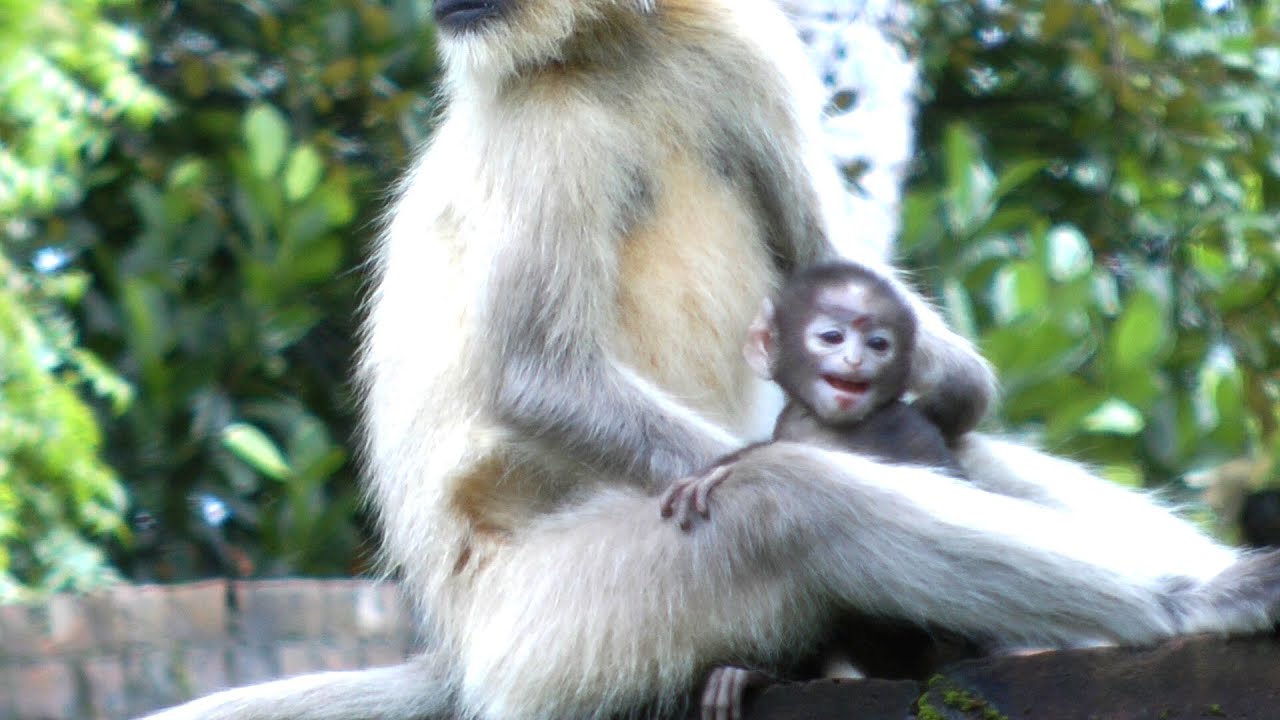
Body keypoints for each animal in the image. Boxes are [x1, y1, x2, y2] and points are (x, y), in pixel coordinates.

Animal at [140, 2, 1280, 720]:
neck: (613, 46)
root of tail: (457, 650)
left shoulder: (735, 41)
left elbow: (831, 262)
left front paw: (950, 384)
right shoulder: (537, 115)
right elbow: (540, 379)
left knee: (937, 462)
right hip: (550, 630)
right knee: (788, 500)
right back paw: (1190, 603)